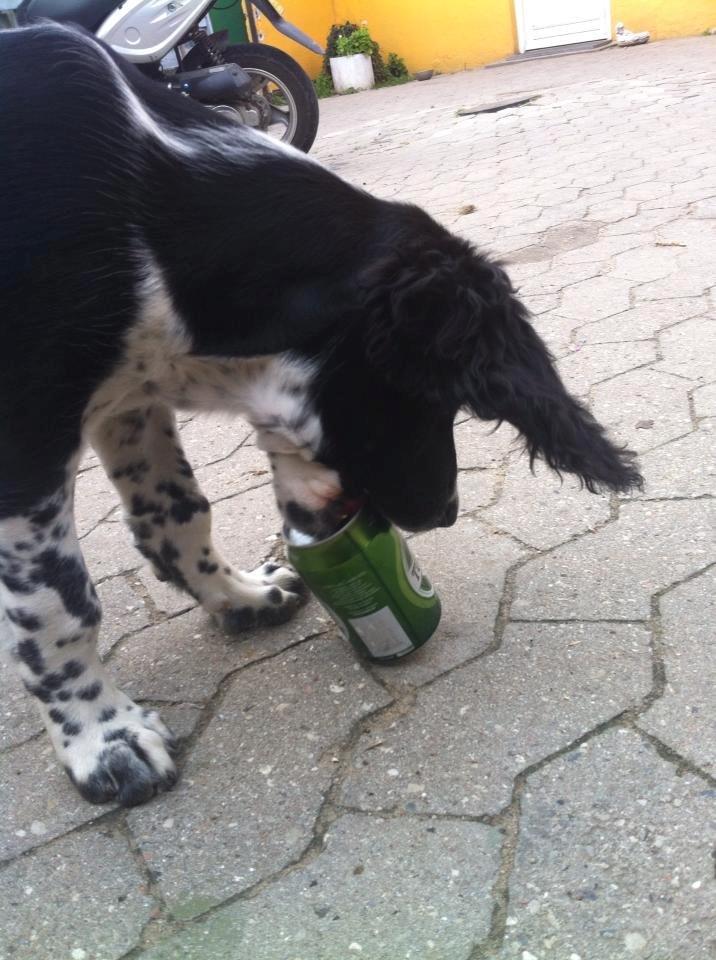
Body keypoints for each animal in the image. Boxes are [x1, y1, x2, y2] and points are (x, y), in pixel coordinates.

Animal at [0, 22, 644, 808]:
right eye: (435, 399)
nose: (446, 513)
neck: (150, 223)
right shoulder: (26, 441)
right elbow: (59, 604)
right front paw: (103, 738)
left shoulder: (127, 394)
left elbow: (178, 514)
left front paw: (239, 596)